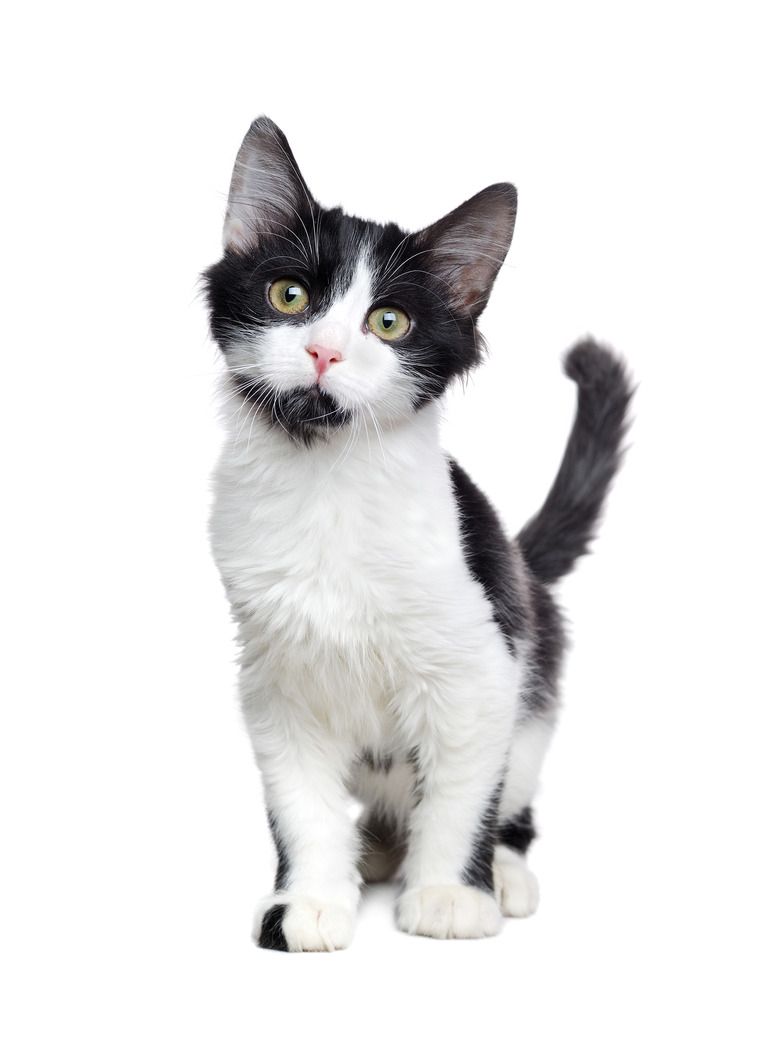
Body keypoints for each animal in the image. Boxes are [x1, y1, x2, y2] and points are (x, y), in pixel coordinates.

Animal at [203, 118, 627, 953]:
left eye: (388, 322)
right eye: (289, 296)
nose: (324, 351)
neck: (327, 486)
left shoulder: (479, 671)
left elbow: (460, 797)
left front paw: (450, 895)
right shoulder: (276, 684)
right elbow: (300, 807)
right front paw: (310, 898)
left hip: (531, 694)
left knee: (510, 804)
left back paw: (500, 871)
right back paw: (372, 848)